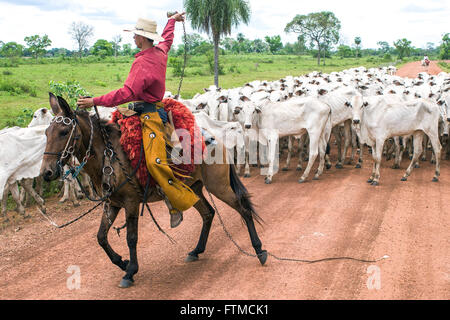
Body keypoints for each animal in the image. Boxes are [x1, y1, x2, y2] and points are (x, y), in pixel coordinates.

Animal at [39, 94, 268, 288]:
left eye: (64, 132)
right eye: (46, 133)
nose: (47, 172)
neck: (109, 155)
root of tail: (215, 140)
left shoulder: (131, 202)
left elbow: (131, 237)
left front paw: (130, 271)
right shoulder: (112, 203)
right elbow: (101, 237)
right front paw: (122, 262)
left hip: (219, 186)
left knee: (243, 209)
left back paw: (259, 250)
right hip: (193, 188)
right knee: (208, 213)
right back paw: (196, 251)